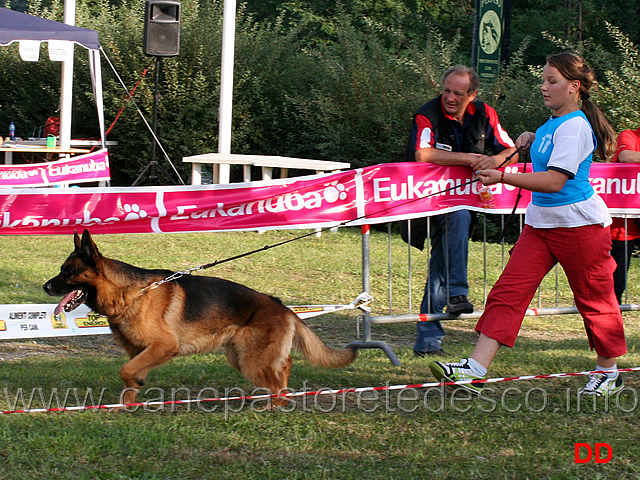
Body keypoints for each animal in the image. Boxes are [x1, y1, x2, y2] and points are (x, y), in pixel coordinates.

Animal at [43, 231, 358, 406]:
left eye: (67, 272)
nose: (45, 287)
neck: (130, 292)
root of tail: (282, 307)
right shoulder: (138, 351)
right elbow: (129, 375)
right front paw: (127, 405)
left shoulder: (164, 346)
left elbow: (126, 371)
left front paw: (134, 389)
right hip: (242, 357)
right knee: (284, 369)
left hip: (251, 361)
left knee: (278, 386)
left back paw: (271, 407)